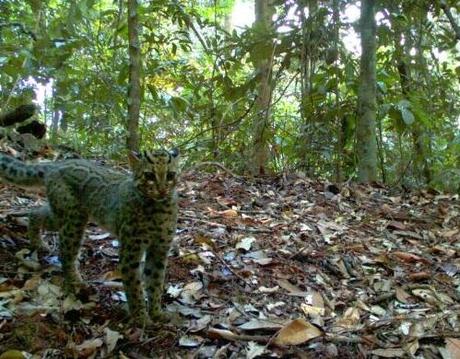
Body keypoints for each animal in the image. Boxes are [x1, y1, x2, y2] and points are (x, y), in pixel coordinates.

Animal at [0, 149, 180, 324]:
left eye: (171, 175)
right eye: (149, 175)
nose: (162, 190)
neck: (158, 208)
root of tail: (56, 164)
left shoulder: (160, 248)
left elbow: (155, 282)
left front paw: (156, 313)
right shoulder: (131, 249)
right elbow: (134, 286)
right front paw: (141, 318)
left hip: (63, 215)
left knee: (36, 212)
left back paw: (38, 243)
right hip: (73, 218)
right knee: (65, 251)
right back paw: (76, 282)